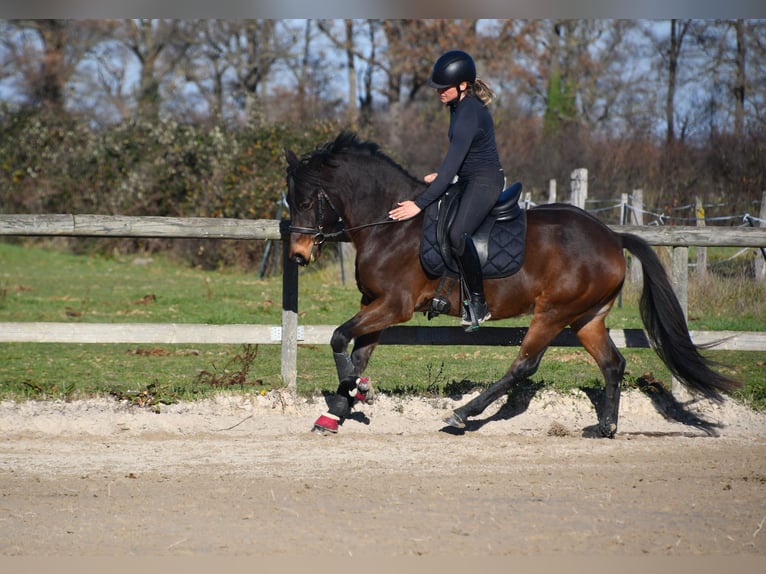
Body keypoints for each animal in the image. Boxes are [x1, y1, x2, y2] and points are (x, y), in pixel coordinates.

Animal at [284, 131, 740, 437]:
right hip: (587, 318)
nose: (298, 256)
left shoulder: (394, 305)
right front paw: (339, 408)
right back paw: (605, 428)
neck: (392, 224)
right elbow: (357, 352)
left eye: (306, 201)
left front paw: (351, 395)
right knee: (613, 364)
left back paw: (463, 414)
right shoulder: (375, 303)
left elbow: (339, 338)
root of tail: (612, 237)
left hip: (553, 312)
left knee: (524, 365)